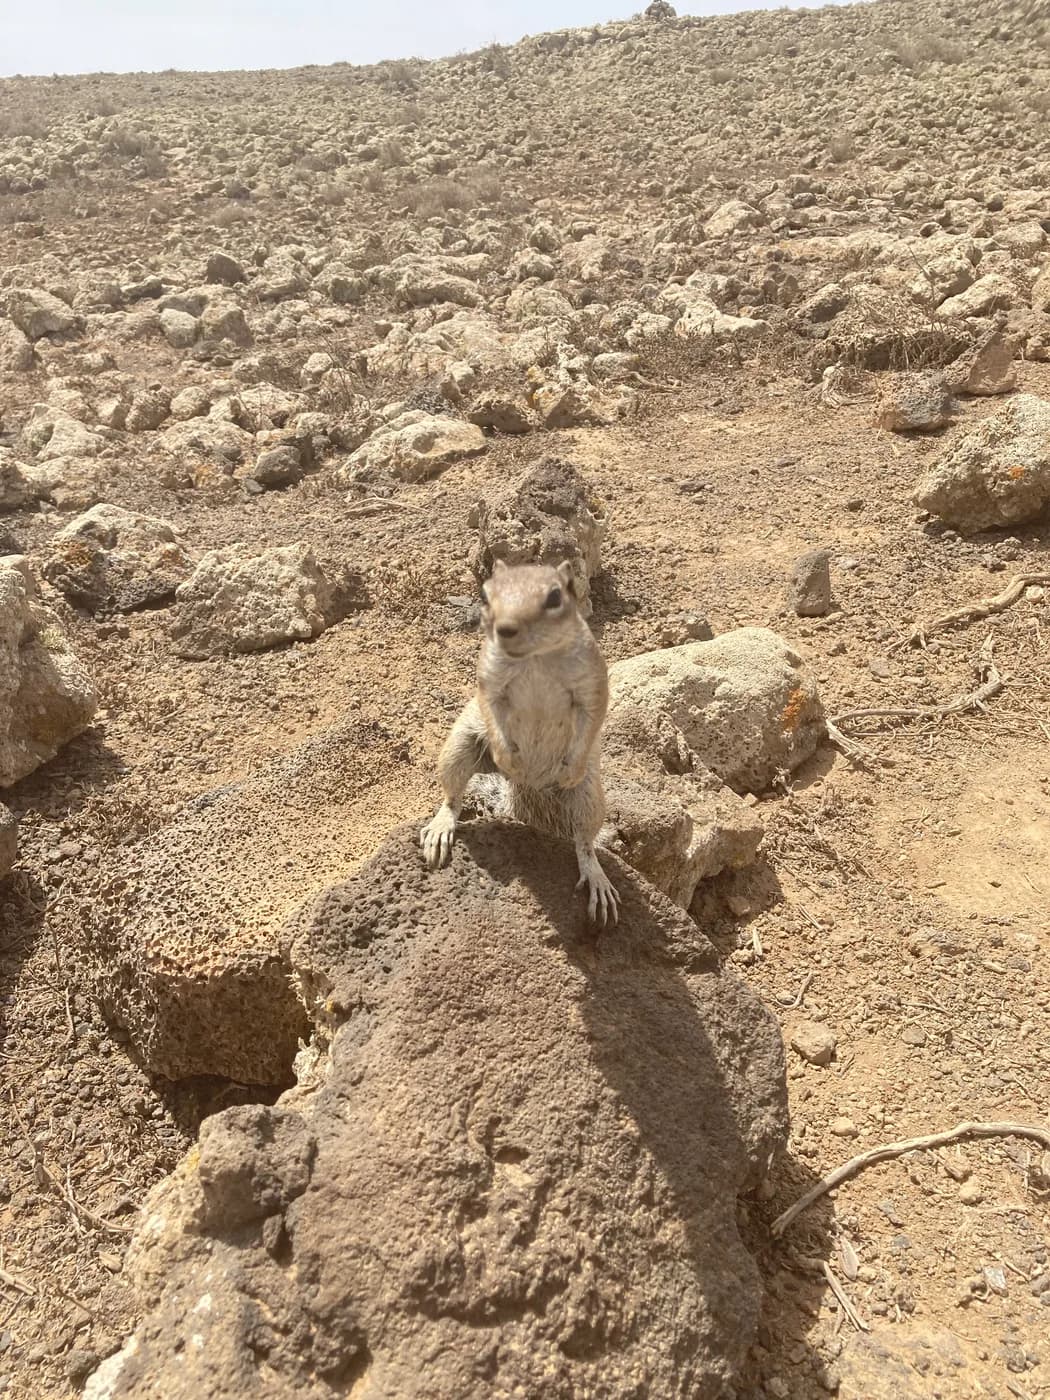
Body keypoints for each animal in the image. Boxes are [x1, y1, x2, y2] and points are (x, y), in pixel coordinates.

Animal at [420, 559, 620, 924]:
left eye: (555, 596)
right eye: (485, 594)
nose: (507, 628)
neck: (536, 657)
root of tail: (532, 787)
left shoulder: (594, 682)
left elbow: (594, 714)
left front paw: (569, 768)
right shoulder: (489, 681)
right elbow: (491, 707)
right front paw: (507, 758)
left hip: (590, 797)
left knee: (584, 842)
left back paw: (597, 879)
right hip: (458, 748)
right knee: (452, 798)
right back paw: (441, 827)